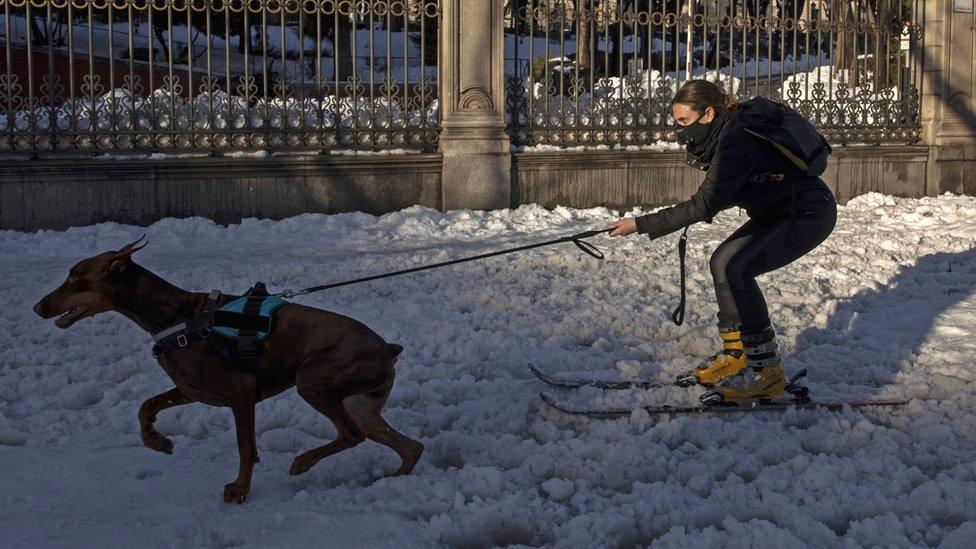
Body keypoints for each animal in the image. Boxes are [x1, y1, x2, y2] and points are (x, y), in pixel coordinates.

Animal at [33, 235, 424, 500]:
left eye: (76, 279)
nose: (39, 306)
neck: (178, 316)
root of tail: (388, 348)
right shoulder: (192, 389)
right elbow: (146, 406)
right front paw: (158, 442)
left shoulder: (241, 393)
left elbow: (245, 446)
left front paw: (239, 490)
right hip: (361, 403)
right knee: (409, 446)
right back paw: (391, 481)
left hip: (313, 379)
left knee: (352, 434)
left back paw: (303, 462)